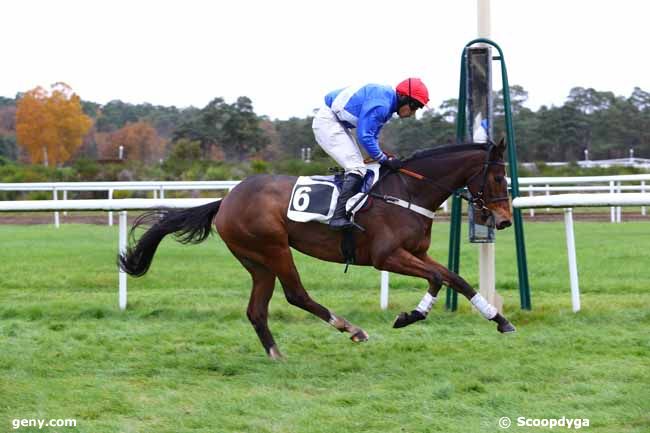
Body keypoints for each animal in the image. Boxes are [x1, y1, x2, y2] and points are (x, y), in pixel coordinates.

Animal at [119, 138, 512, 358]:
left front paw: (500, 319)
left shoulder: (416, 252)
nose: (505, 219)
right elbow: (436, 279)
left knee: (256, 310)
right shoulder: (387, 257)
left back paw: (276, 354)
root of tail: (226, 199)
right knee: (296, 295)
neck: (408, 192)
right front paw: (409, 316)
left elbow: (455, 278)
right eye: (497, 177)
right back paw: (351, 329)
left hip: (257, 261)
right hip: (274, 249)